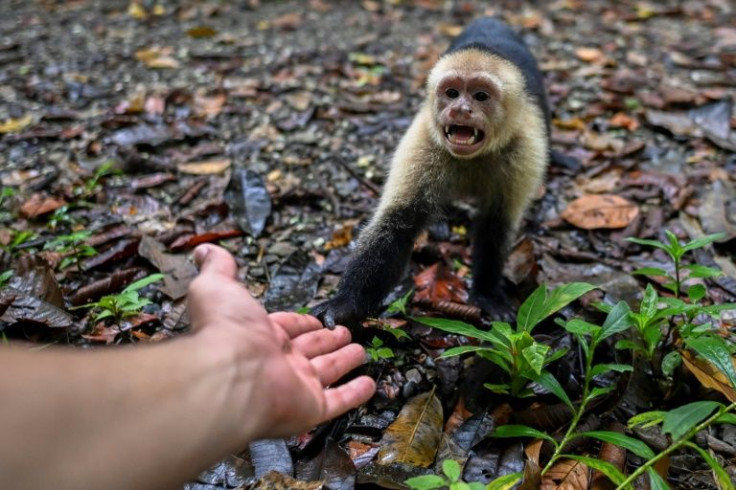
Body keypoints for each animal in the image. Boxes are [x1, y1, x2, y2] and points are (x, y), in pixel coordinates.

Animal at [310, 17, 548, 330]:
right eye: (452, 93)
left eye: (480, 96)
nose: (461, 109)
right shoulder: (423, 141)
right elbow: (399, 222)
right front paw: (345, 305)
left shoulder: (524, 149)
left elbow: (496, 222)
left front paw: (486, 294)